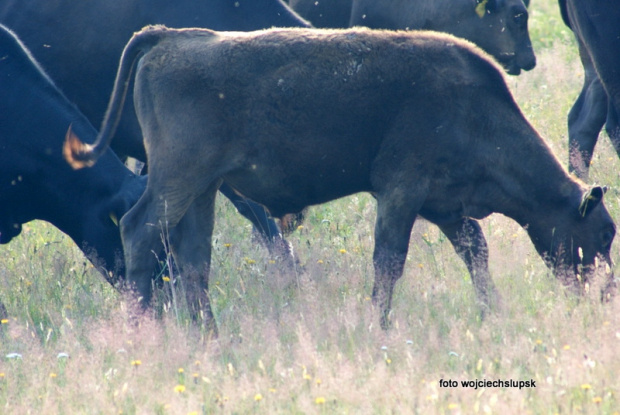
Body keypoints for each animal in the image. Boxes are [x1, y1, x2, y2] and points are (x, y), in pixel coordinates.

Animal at [66, 26, 616, 334]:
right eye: (601, 234)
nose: (605, 294)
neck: (475, 110)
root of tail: (172, 36)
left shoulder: (444, 207)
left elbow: (474, 252)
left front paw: (492, 312)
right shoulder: (401, 192)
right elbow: (389, 261)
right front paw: (380, 325)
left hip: (202, 190)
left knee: (193, 258)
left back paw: (210, 334)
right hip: (178, 180)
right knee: (139, 231)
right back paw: (144, 328)